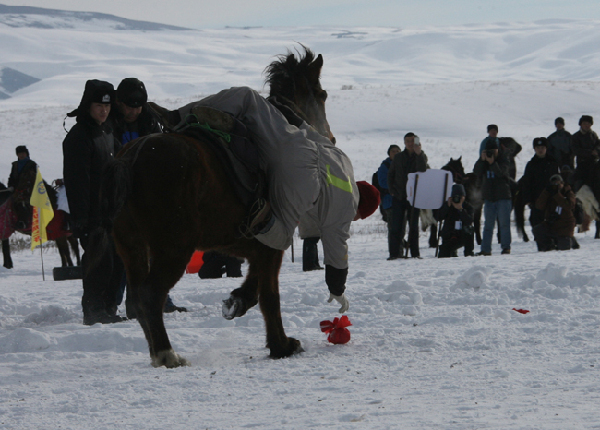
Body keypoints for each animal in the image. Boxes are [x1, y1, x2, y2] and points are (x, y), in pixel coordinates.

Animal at [96, 47, 336, 370]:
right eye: (322, 94)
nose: (330, 137)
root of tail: (130, 158)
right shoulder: (273, 243)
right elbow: (269, 295)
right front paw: (280, 343)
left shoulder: (251, 244)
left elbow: (256, 283)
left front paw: (240, 301)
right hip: (174, 249)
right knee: (150, 295)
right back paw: (166, 353)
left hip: (131, 248)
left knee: (136, 297)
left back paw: (157, 351)